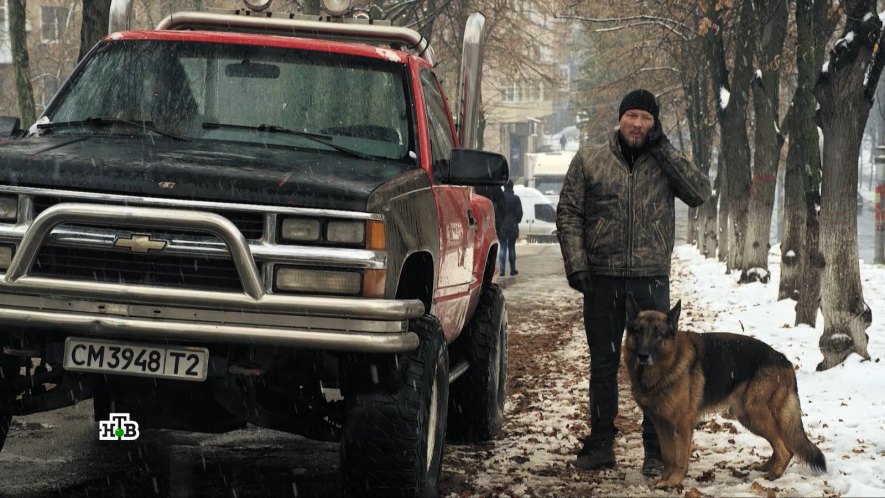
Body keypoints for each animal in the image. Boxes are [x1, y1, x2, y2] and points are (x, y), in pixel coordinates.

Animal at [624, 296, 824, 486]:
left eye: (658, 334)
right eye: (638, 331)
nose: (643, 356)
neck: (668, 364)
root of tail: (785, 360)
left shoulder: (683, 423)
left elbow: (679, 458)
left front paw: (673, 481)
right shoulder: (661, 424)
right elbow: (667, 456)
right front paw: (664, 479)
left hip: (756, 413)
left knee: (786, 449)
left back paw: (774, 474)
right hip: (748, 417)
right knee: (782, 444)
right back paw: (768, 466)